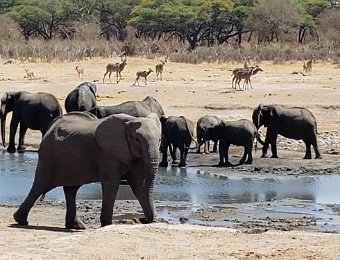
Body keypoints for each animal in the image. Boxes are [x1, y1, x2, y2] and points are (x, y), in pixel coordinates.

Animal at [13, 112, 162, 229]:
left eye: (160, 140)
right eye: (137, 139)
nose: (142, 219)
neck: (129, 121)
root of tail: (52, 125)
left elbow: (138, 185)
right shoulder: (107, 154)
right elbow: (112, 185)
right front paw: (107, 224)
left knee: (71, 189)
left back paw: (76, 226)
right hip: (48, 156)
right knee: (40, 185)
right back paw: (20, 220)